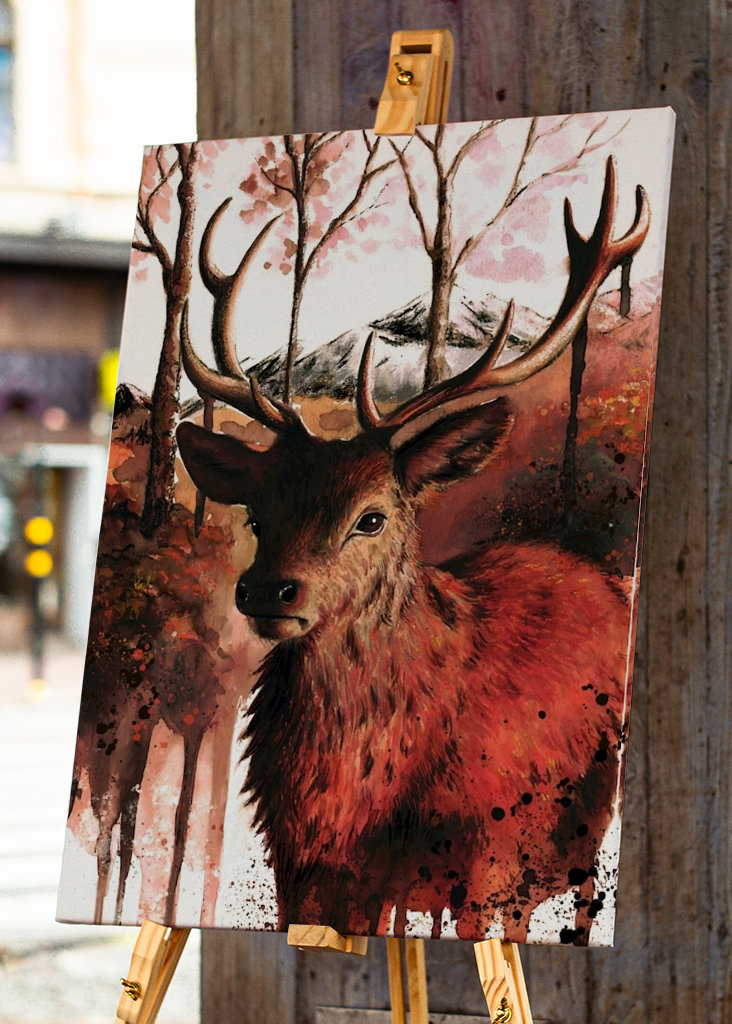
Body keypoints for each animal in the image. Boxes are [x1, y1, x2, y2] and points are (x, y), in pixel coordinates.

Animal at [176, 156, 650, 944]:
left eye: (370, 518)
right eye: (257, 513)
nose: (268, 591)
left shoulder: (492, 853)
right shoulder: (301, 864)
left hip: (570, 834)